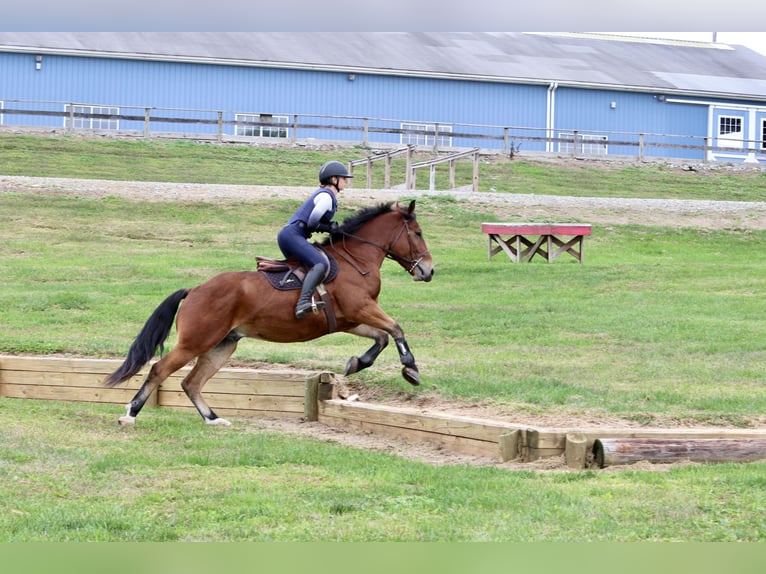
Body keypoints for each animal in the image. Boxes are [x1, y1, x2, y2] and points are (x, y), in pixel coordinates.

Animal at [102, 200, 434, 426]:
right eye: (417, 233)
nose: (428, 271)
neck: (357, 261)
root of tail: (195, 289)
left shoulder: (349, 320)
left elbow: (382, 337)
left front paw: (356, 363)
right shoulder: (361, 308)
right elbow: (396, 328)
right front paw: (411, 369)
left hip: (223, 344)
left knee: (191, 383)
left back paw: (213, 419)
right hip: (195, 341)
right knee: (160, 370)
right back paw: (130, 415)